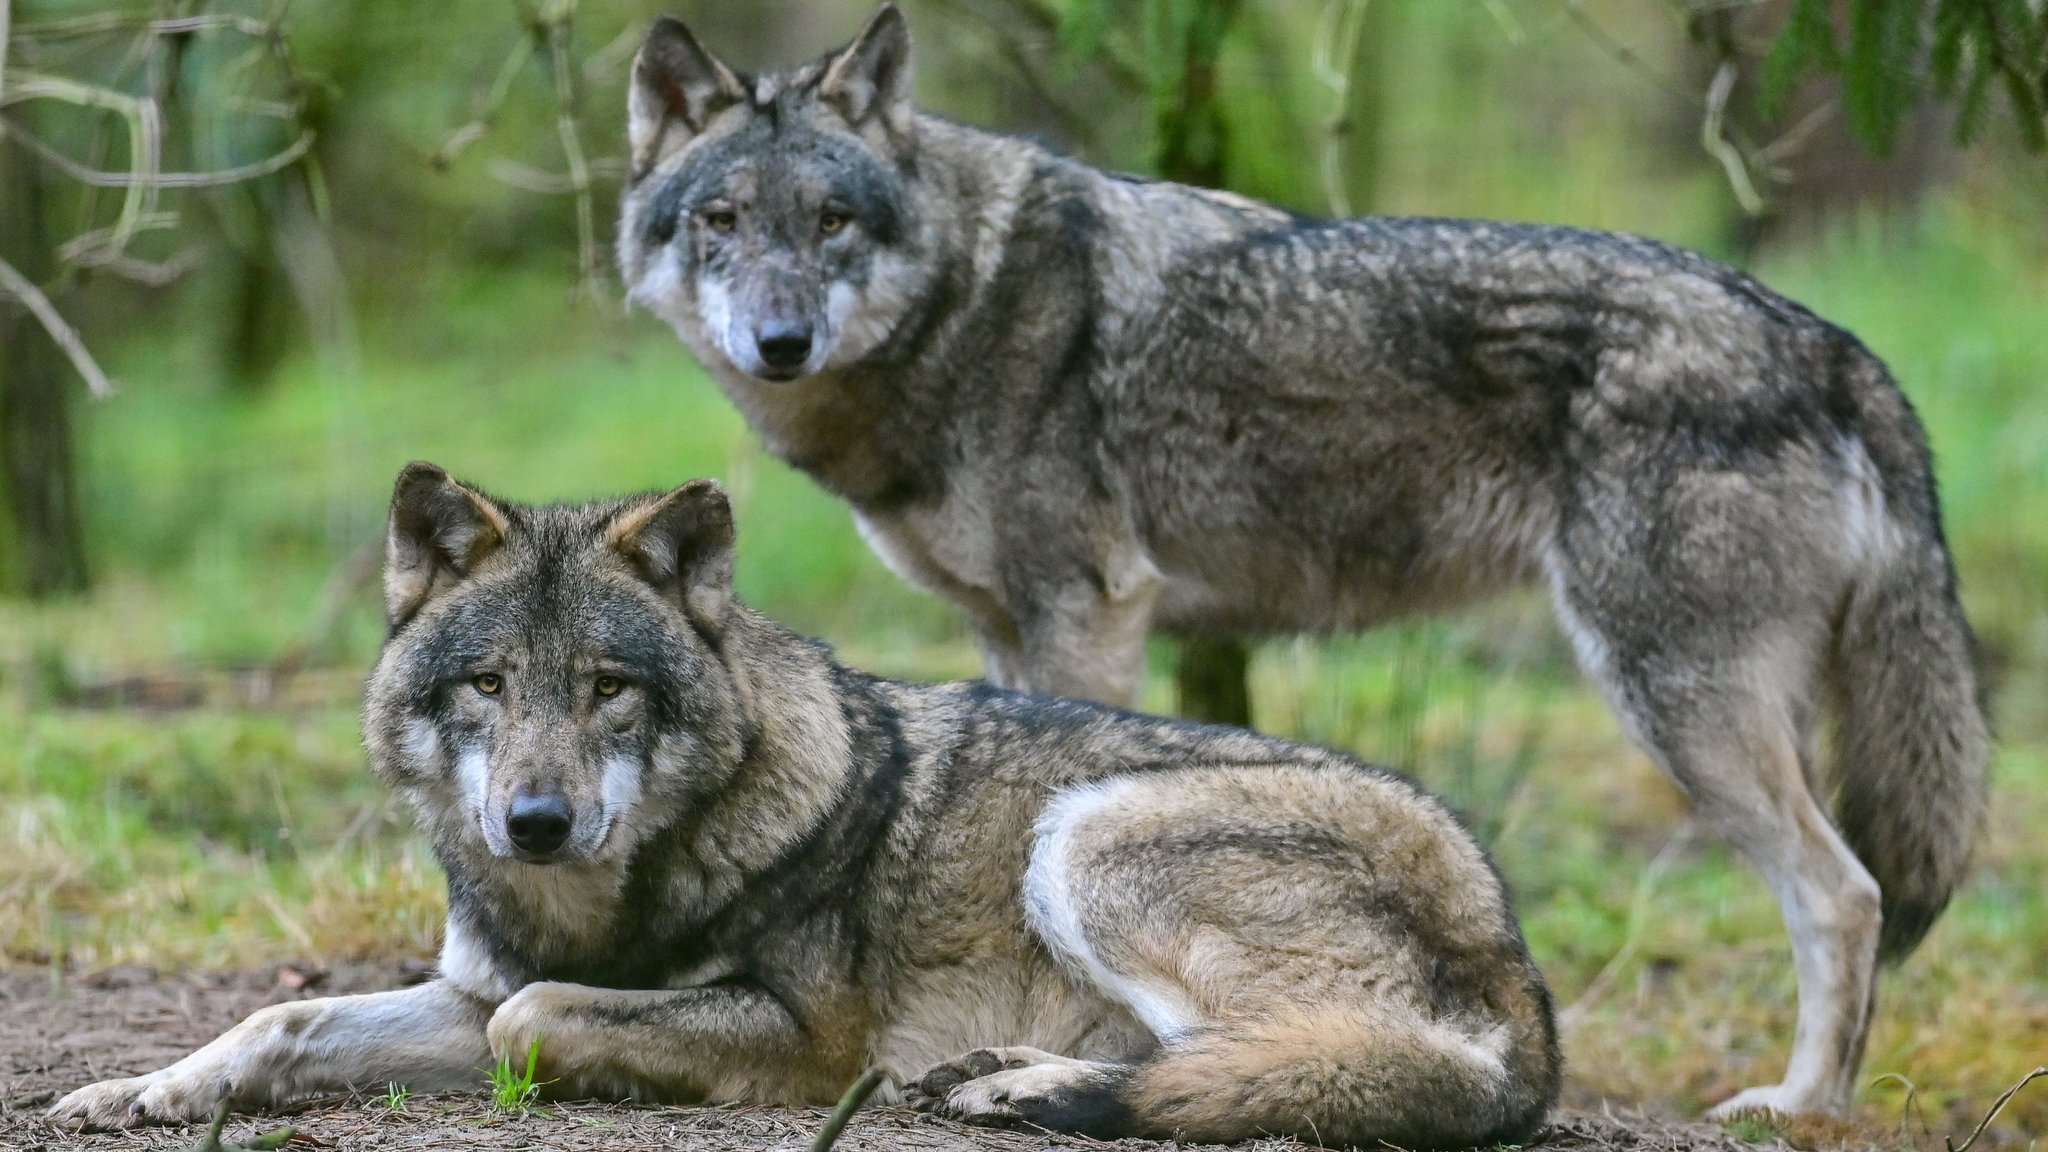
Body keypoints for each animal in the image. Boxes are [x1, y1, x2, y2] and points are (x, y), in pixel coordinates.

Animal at [51, 461, 1548, 1139]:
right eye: (486, 685)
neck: (606, 901)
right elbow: (286, 1018)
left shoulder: (803, 1037)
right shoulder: (473, 988)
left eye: (609, 690)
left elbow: (540, 1023)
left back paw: (1034, 1087)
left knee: (1315, 1063)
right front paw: (139, 1089)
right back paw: (1001, 1075)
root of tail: (1518, 959)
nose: (535, 823)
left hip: (1088, 837)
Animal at [614, 0, 1990, 1115]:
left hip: (1671, 704)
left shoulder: (1084, 614)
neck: (968, 298)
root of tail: (1828, 343)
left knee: (1845, 897)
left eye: (831, 222)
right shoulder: (1007, 630)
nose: (778, 342)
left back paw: (1799, 1105)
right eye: (722, 222)